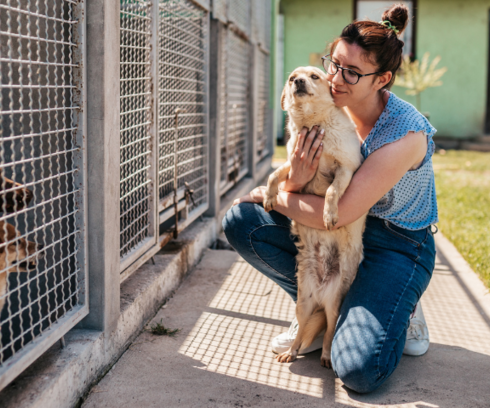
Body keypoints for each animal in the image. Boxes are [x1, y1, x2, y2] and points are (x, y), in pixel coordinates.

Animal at [266, 66, 366, 366]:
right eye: (291, 79)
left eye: (314, 76)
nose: (297, 81)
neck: (313, 123)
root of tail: (321, 292)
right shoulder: (294, 162)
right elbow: (275, 174)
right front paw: (269, 196)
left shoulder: (346, 169)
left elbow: (332, 191)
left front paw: (329, 215)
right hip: (303, 303)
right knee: (301, 331)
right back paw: (290, 352)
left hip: (334, 304)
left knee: (331, 330)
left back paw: (325, 356)